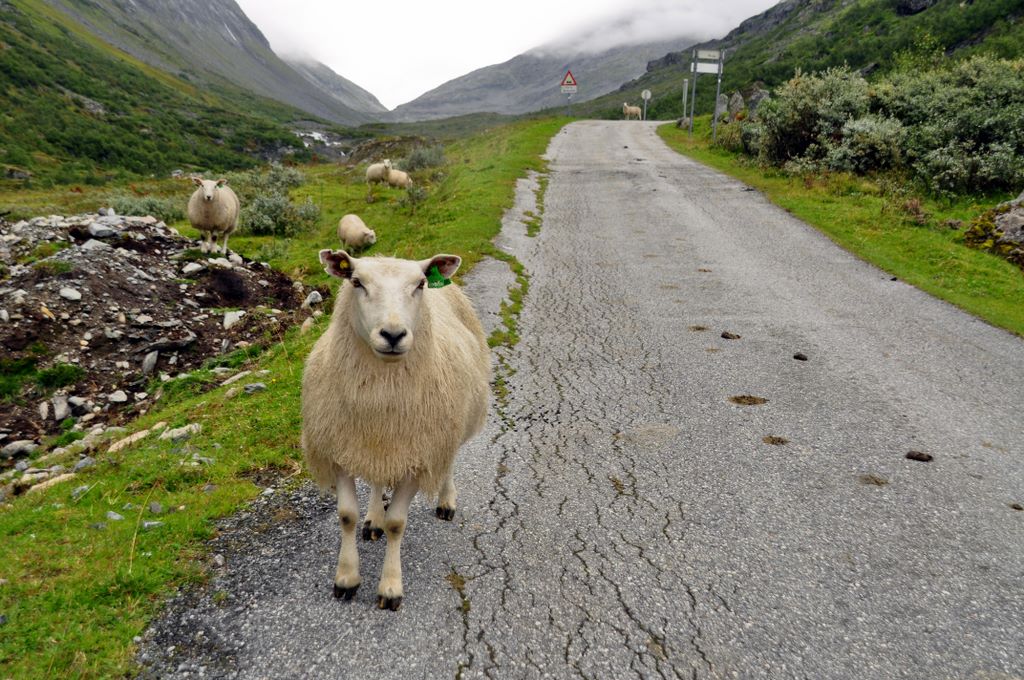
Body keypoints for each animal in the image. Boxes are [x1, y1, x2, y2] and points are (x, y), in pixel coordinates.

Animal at [301, 249, 489, 610]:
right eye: (356, 282)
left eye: (420, 284)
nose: (392, 335)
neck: (382, 400)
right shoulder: (341, 449)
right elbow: (346, 515)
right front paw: (346, 578)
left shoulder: (417, 456)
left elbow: (397, 524)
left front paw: (390, 587)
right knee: (376, 478)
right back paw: (373, 518)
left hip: (451, 426)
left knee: (448, 462)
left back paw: (446, 501)